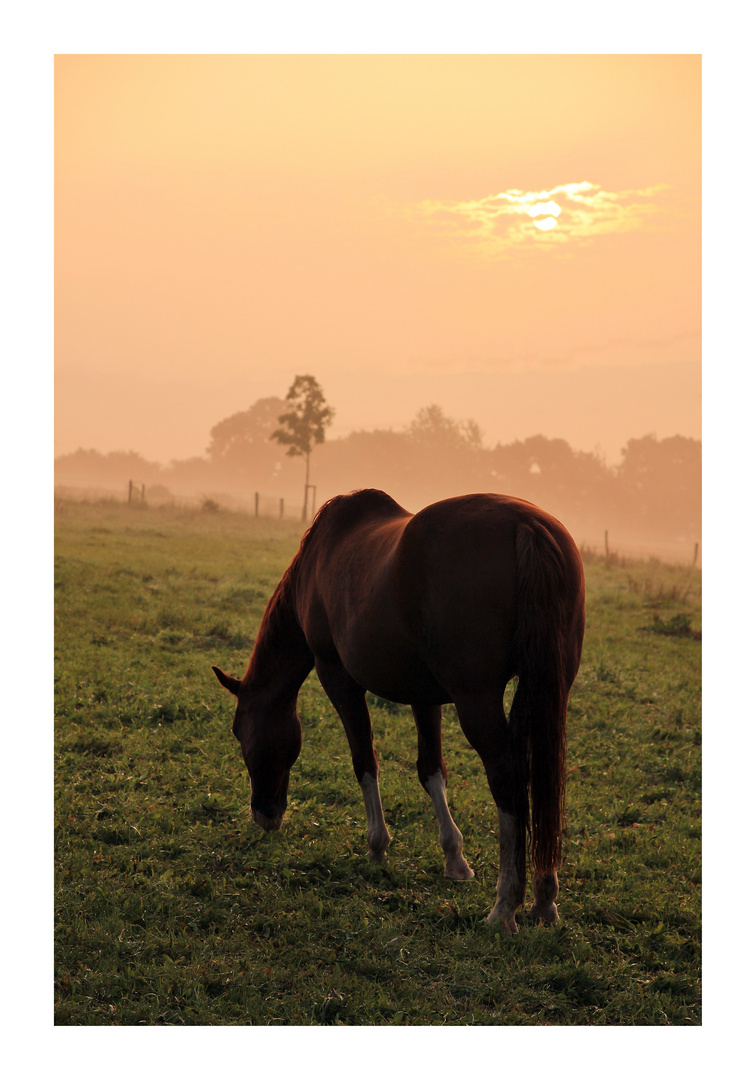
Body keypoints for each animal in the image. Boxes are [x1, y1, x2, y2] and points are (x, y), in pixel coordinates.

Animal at [212, 490, 583, 937]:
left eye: (238, 730)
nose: (264, 814)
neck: (317, 562)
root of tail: (525, 524)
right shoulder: (425, 695)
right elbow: (431, 770)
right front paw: (455, 859)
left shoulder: (337, 677)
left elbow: (364, 761)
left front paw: (377, 846)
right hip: (549, 685)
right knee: (541, 774)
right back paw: (544, 899)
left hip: (476, 699)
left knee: (507, 776)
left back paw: (504, 906)